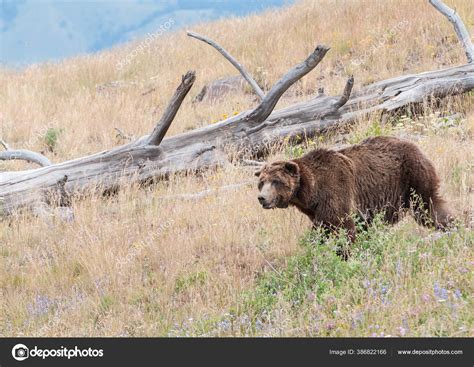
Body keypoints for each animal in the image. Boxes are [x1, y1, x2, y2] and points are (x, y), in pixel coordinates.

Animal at [258, 137, 454, 258]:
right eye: (261, 182)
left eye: (275, 181)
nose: (262, 198)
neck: (311, 192)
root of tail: (416, 146)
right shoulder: (316, 211)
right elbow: (321, 230)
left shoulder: (336, 190)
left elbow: (343, 228)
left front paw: (343, 256)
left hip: (412, 178)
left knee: (428, 207)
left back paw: (451, 226)